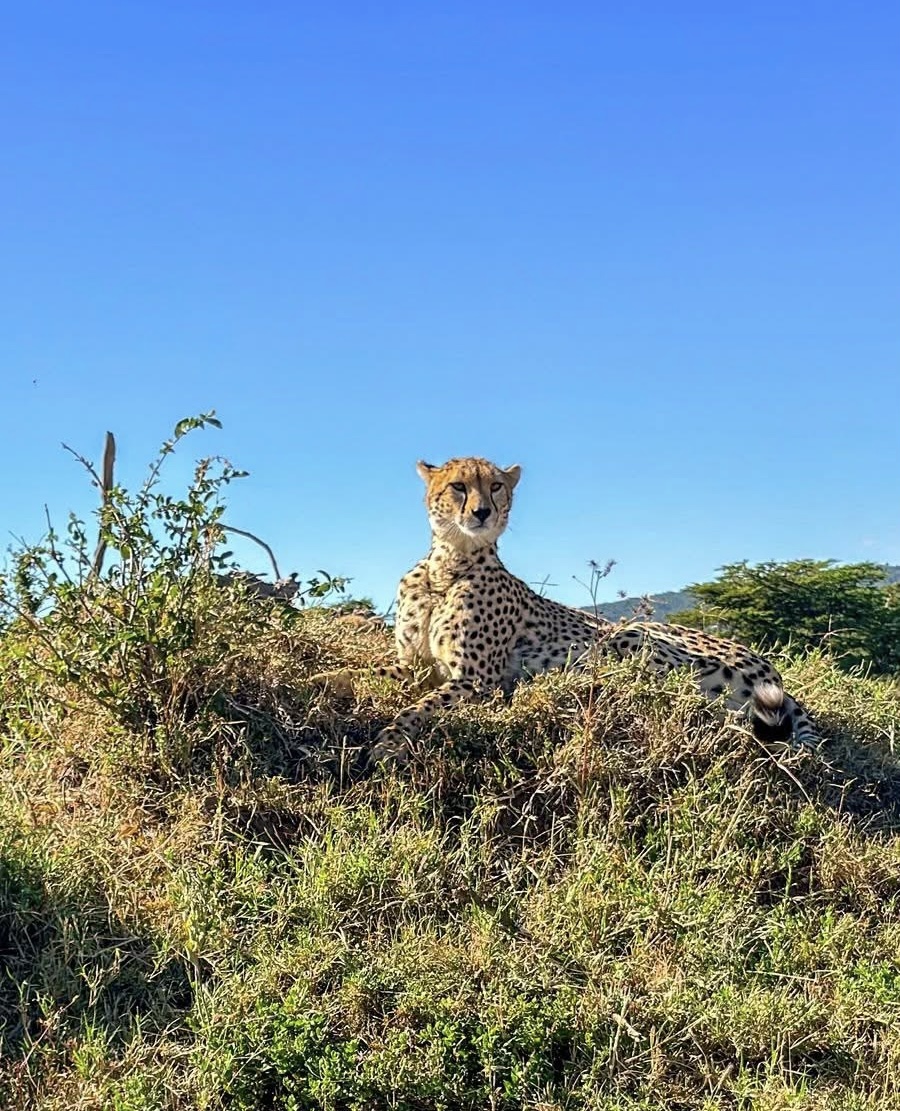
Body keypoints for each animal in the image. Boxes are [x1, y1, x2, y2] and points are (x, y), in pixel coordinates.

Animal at [320, 456, 818, 765]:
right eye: (458, 486)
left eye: (495, 486)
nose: (481, 512)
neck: (449, 564)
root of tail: (767, 666)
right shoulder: (416, 664)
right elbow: (362, 671)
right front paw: (319, 680)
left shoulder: (477, 682)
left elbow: (419, 706)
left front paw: (389, 742)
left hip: (631, 634)